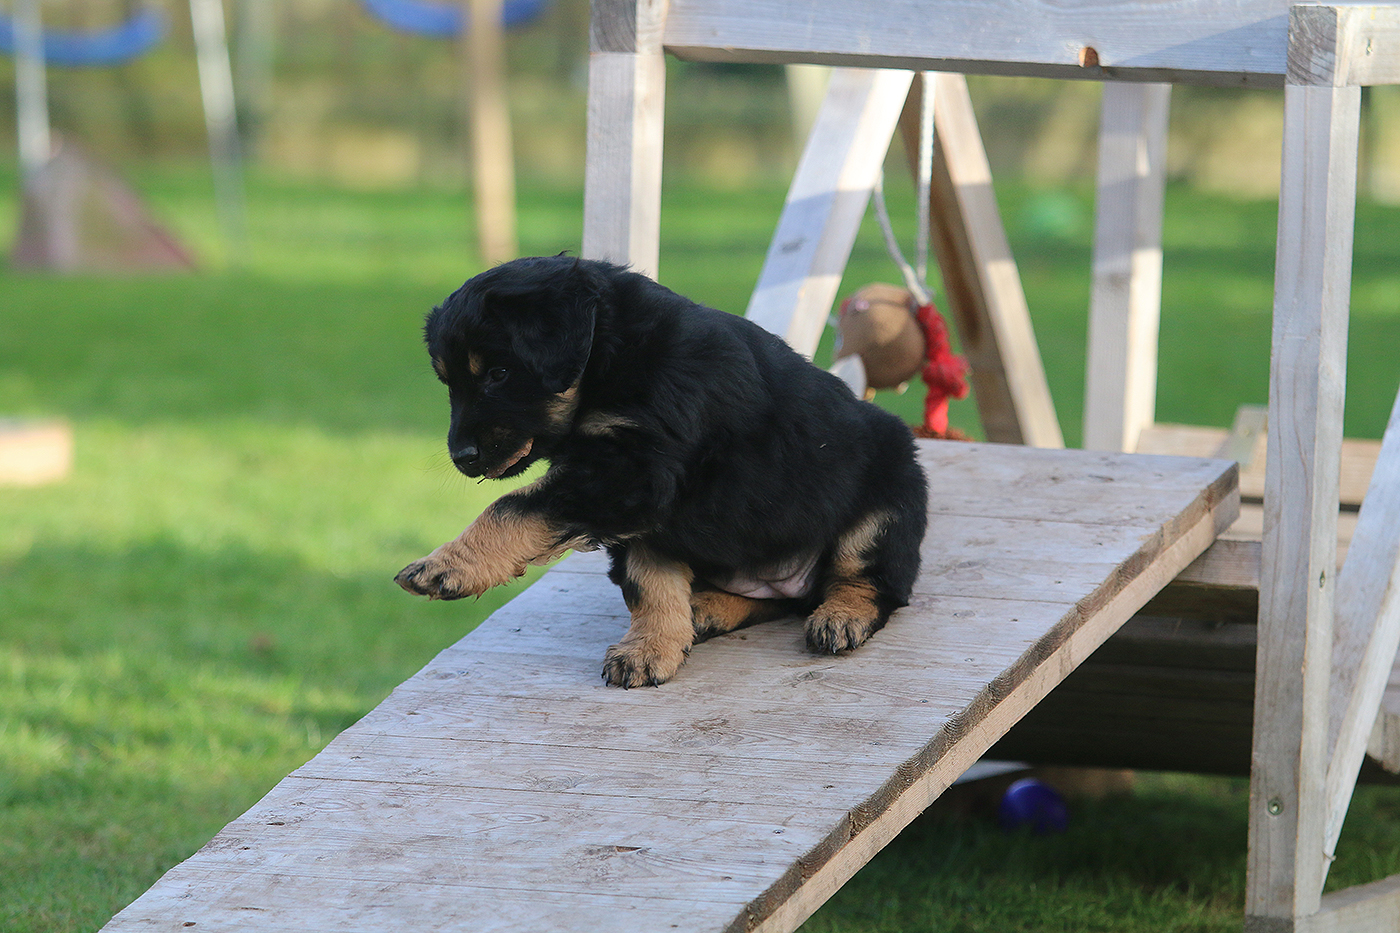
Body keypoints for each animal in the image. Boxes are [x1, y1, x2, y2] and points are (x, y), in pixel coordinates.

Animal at [395, 255, 928, 687]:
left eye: (499, 373)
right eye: (449, 382)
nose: (462, 456)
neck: (612, 357)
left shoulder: (634, 472)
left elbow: (513, 506)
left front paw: (445, 565)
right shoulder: (645, 507)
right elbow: (649, 581)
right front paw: (652, 647)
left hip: (889, 495)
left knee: (870, 582)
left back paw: (840, 615)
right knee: (780, 600)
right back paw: (707, 608)